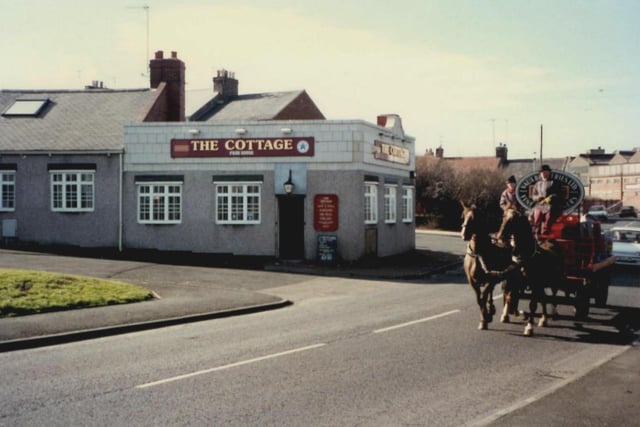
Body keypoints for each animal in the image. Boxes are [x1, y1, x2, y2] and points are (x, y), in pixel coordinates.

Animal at [462, 204, 512, 332]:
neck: (478, 254)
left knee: (508, 293)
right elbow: (479, 299)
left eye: (474, 217)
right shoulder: (472, 281)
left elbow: (483, 297)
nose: (464, 234)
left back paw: (504, 315)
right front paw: (485, 317)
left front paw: (485, 319)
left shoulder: (489, 280)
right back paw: (491, 309)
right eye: (463, 216)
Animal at [496, 208, 564, 338]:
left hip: (553, 282)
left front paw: (529, 327)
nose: (500, 236)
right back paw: (543, 319)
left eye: (513, 220)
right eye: (503, 216)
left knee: (552, 296)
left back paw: (553, 313)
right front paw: (512, 314)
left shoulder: (534, 284)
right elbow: (510, 297)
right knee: (543, 298)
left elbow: (533, 305)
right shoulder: (514, 282)